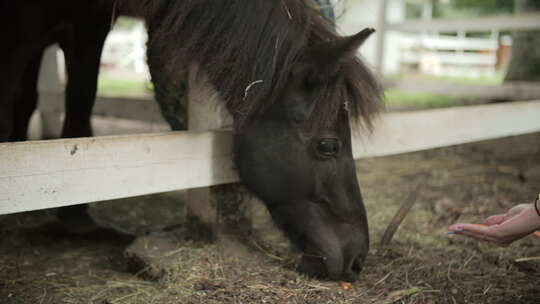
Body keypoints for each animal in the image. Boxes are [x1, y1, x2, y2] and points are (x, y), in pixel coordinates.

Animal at [0, 0, 382, 282]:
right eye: (328, 146)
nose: (357, 258)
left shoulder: (88, 29)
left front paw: (76, 217)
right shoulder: (21, 29)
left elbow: (80, 100)